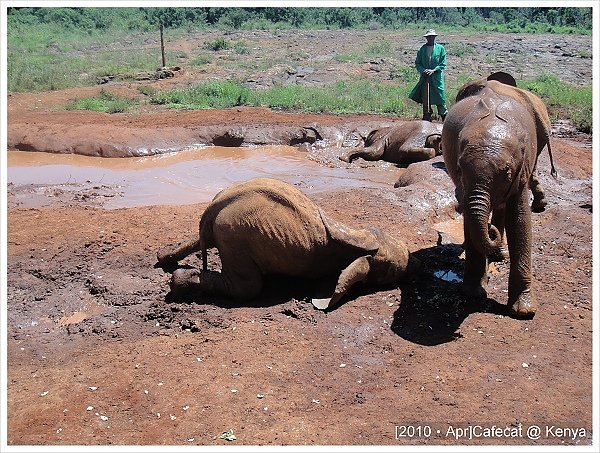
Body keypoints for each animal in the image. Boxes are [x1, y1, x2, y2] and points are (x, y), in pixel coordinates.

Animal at [158, 177, 422, 310]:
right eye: (392, 272)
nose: (418, 264)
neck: (359, 235)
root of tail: (213, 208)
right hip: (236, 234)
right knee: (249, 288)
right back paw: (177, 283)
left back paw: (163, 257)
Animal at [442, 85, 548, 318]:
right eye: (460, 169)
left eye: (507, 172)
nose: (491, 230)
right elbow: (470, 219)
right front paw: (473, 294)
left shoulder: (522, 168)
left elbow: (519, 220)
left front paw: (523, 312)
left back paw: (498, 253)